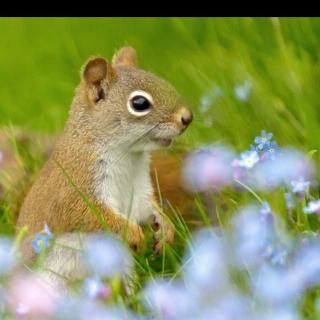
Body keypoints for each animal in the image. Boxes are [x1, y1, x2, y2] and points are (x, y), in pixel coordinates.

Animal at [16, 47, 192, 262]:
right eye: (139, 103)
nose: (187, 117)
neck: (128, 156)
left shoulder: (139, 189)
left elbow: (146, 207)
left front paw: (165, 228)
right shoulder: (77, 187)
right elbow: (90, 215)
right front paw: (132, 233)